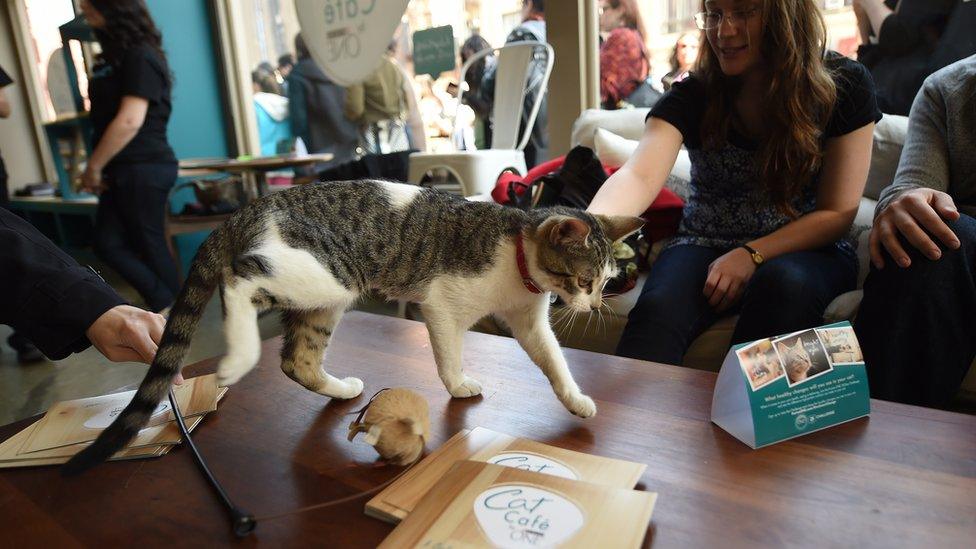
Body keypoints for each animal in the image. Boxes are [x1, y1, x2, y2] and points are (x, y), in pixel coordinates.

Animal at [65, 182, 644, 474]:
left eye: (605, 281)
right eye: (584, 278)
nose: (593, 303)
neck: (517, 257)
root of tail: (244, 211)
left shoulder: (529, 320)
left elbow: (554, 361)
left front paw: (576, 401)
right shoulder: (442, 306)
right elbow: (449, 355)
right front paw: (459, 385)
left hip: (324, 298)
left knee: (296, 359)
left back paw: (340, 388)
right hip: (323, 273)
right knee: (239, 280)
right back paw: (238, 357)